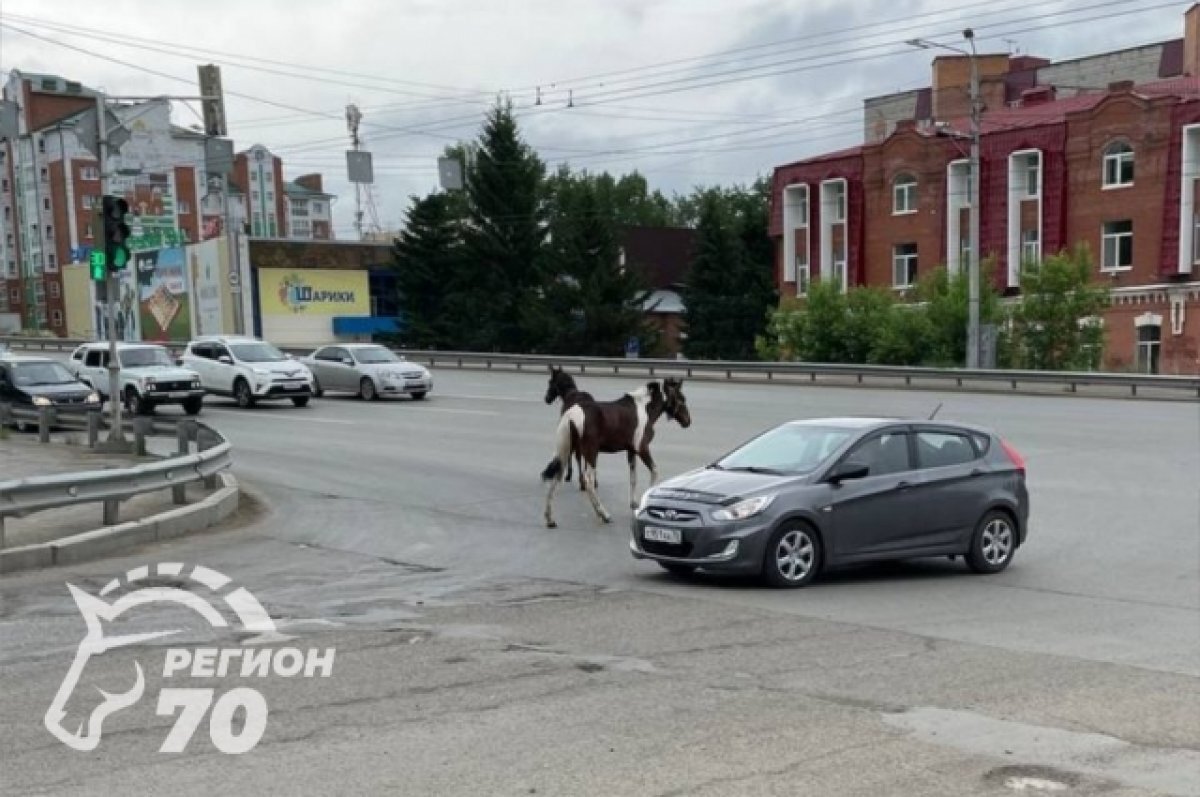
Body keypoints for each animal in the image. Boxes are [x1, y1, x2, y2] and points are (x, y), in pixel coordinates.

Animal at [540, 379, 691, 528]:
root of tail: (571, 415)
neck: (644, 409)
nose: (688, 421)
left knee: (557, 477)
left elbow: (633, 478)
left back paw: (550, 519)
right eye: (681, 399)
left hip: (567, 451)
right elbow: (654, 471)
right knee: (588, 481)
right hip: (590, 453)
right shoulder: (642, 448)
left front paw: (634, 504)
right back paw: (604, 514)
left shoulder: (631, 451)